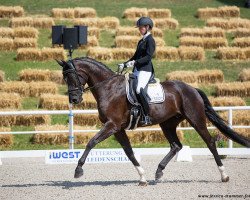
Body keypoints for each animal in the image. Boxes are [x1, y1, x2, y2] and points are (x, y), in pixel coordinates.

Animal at [57, 56, 250, 186]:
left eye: (72, 76)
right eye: (64, 78)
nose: (74, 99)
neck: (108, 88)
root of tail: (191, 88)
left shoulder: (112, 125)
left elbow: (91, 142)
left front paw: (78, 170)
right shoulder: (118, 128)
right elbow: (129, 152)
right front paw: (142, 177)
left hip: (195, 119)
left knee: (210, 142)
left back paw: (224, 175)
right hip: (168, 123)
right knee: (176, 145)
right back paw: (158, 171)